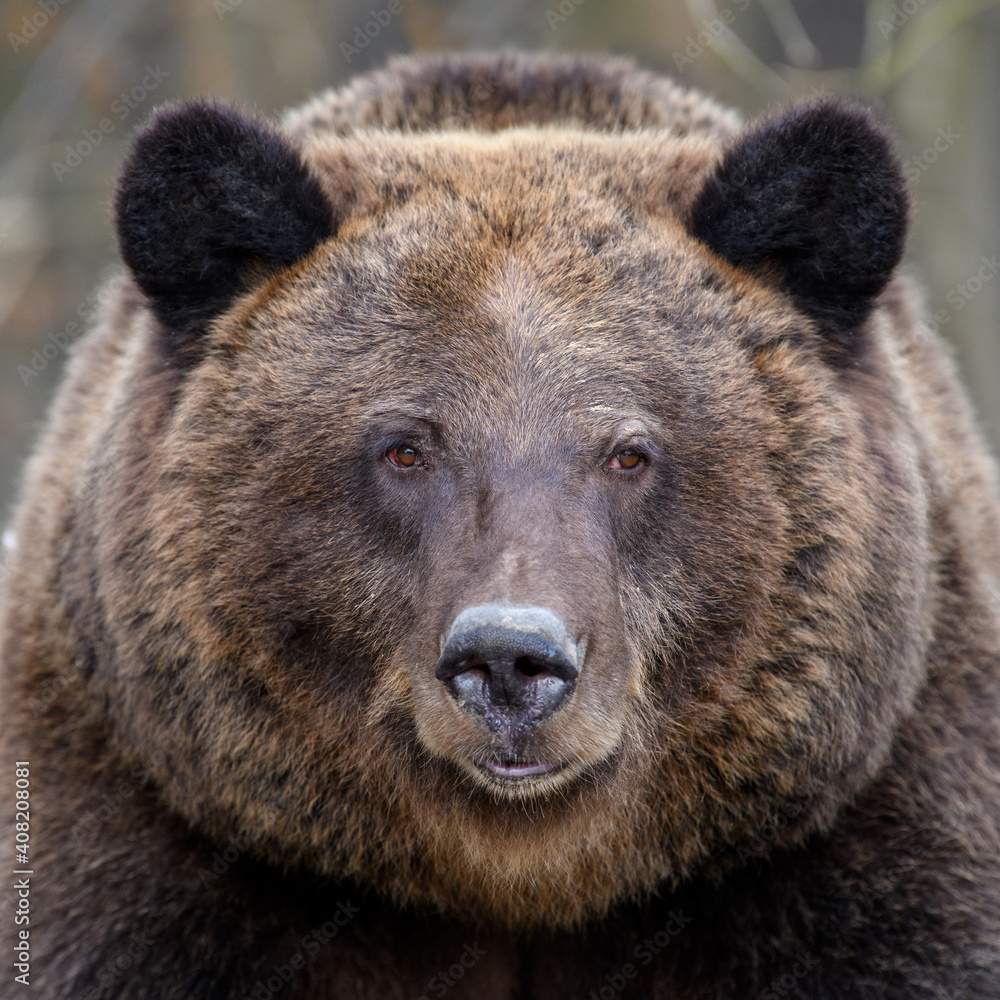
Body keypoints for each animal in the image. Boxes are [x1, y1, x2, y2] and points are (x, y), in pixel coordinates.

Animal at [1, 48, 1000, 1000]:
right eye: (405, 447)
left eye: (628, 452)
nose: (512, 659)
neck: (516, 878)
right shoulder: (149, 860)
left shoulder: (873, 852)